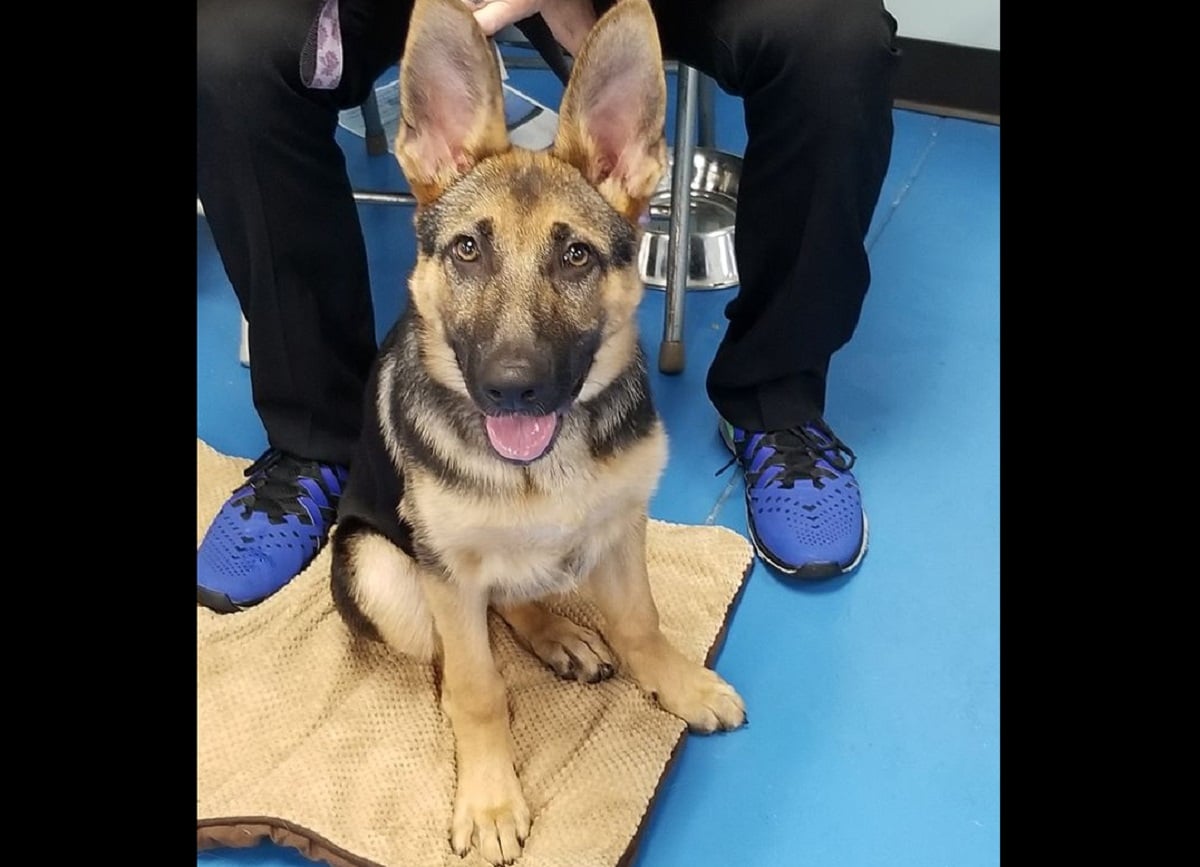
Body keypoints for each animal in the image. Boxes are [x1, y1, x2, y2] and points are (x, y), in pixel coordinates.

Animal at [328, 0, 739, 859]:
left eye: (576, 255)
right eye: (467, 249)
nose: (512, 388)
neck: (540, 466)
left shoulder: (621, 525)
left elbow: (640, 620)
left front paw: (677, 682)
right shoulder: (444, 567)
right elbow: (478, 686)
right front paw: (488, 797)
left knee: (511, 601)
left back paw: (558, 634)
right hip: (380, 568)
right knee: (456, 647)